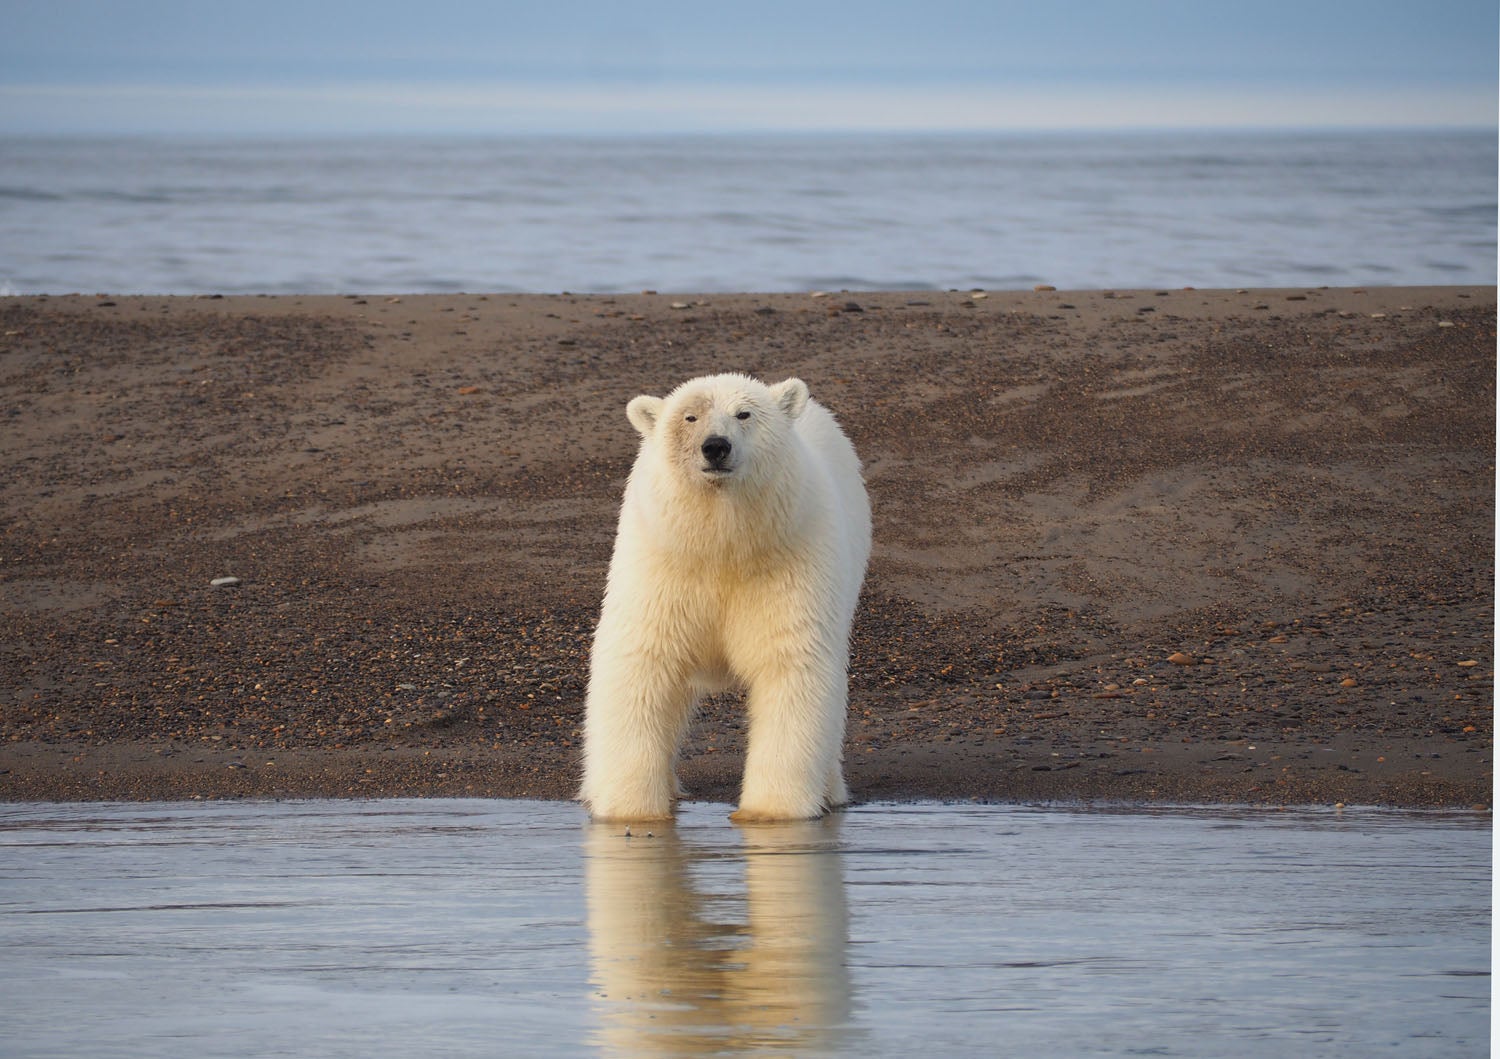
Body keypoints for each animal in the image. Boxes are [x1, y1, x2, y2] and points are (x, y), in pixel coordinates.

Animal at [579, 375, 876, 822]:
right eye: (690, 416)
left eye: (744, 414)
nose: (715, 446)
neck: (723, 544)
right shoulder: (663, 567)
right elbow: (642, 664)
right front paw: (631, 809)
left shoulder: (788, 564)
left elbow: (790, 666)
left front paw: (771, 811)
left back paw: (831, 790)